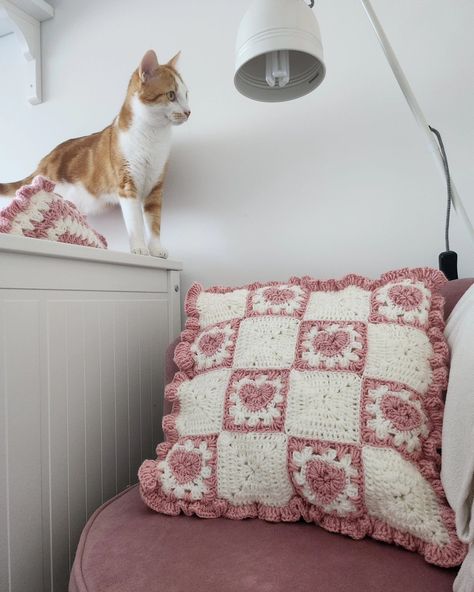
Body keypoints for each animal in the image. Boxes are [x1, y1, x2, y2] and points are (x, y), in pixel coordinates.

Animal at [0, 49, 189, 256]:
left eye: (187, 95)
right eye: (171, 95)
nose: (188, 112)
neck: (154, 137)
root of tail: (45, 160)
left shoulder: (156, 186)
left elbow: (154, 222)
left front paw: (156, 249)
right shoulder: (127, 184)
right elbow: (135, 222)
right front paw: (139, 248)